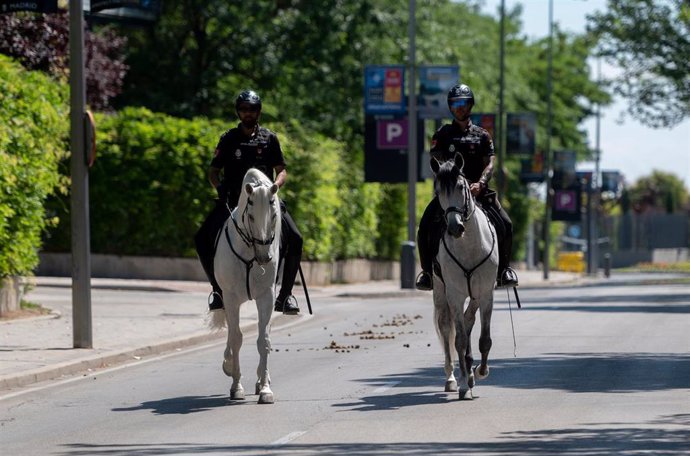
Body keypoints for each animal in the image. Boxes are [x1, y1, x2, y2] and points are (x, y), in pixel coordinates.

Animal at [210, 167, 280, 402]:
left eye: (274, 215)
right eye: (250, 216)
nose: (265, 257)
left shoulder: (266, 296)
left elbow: (263, 340)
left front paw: (265, 388)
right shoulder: (231, 298)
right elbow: (236, 338)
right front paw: (236, 385)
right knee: (232, 332)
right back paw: (228, 363)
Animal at [428, 156, 498, 400]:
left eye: (461, 186)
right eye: (438, 190)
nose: (454, 227)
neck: (468, 245)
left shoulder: (485, 293)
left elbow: (484, 339)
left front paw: (481, 371)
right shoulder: (455, 295)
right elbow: (458, 340)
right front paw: (464, 384)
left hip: (475, 295)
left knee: (468, 321)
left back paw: (469, 371)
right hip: (441, 292)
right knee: (447, 327)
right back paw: (453, 378)